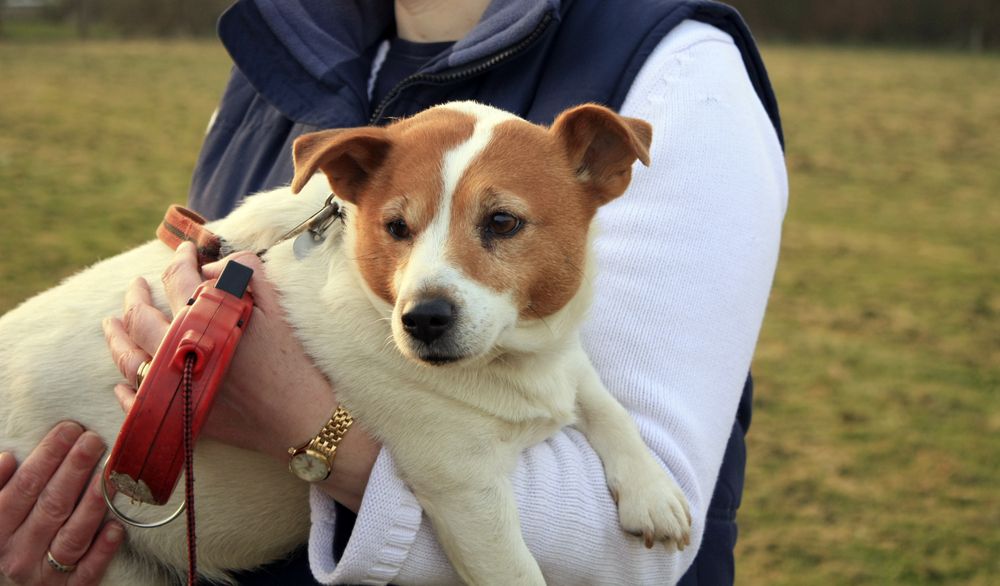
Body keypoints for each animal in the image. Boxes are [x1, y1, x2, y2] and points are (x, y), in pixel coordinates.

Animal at [0, 102, 688, 580]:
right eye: (396, 226)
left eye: (502, 221)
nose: (423, 319)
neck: (504, 366)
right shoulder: (465, 491)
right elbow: (516, 571)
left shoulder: (561, 361)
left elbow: (604, 403)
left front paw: (652, 490)